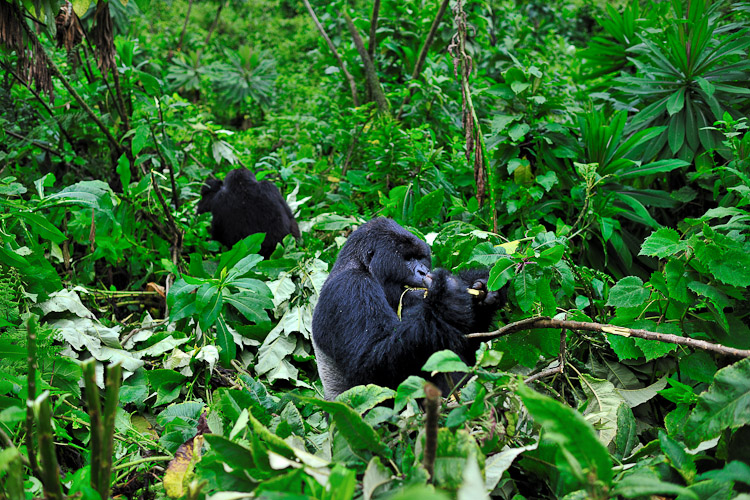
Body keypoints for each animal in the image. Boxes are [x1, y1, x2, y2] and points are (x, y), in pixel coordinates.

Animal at [312, 217, 506, 400]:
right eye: (408, 259)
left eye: (421, 258)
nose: (423, 271)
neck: (360, 265)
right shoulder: (350, 287)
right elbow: (371, 363)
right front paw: (447, 296)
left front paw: (480, 288)